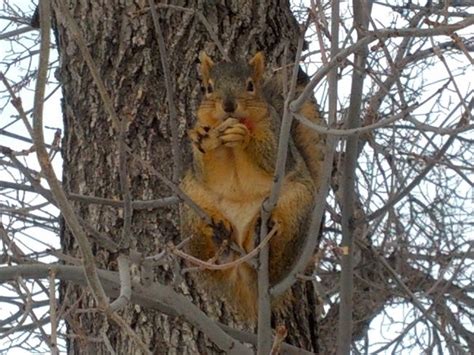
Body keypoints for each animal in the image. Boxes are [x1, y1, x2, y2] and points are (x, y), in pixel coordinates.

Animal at [180, 50, 324, 320]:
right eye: (208, 88)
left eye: (250, 86)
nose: (228, 105)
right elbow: (207, 168)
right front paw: (204, 138)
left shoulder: (277, 136)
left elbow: (271, 156)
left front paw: (244, 136)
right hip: (192, 206)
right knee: (212, 263)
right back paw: (220, 236)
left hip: (297, 206)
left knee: (278, 261)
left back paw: (261, 239)